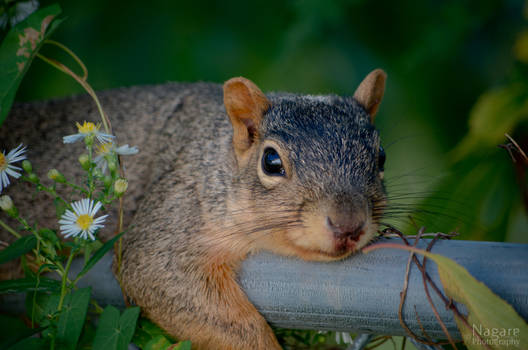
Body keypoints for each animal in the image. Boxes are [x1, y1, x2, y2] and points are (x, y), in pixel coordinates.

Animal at [0, 67, 388, 348]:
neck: (216, 154)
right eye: (271, 161)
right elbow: (158, 273)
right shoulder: (175, 213)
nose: (348, 225)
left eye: (381, 157)